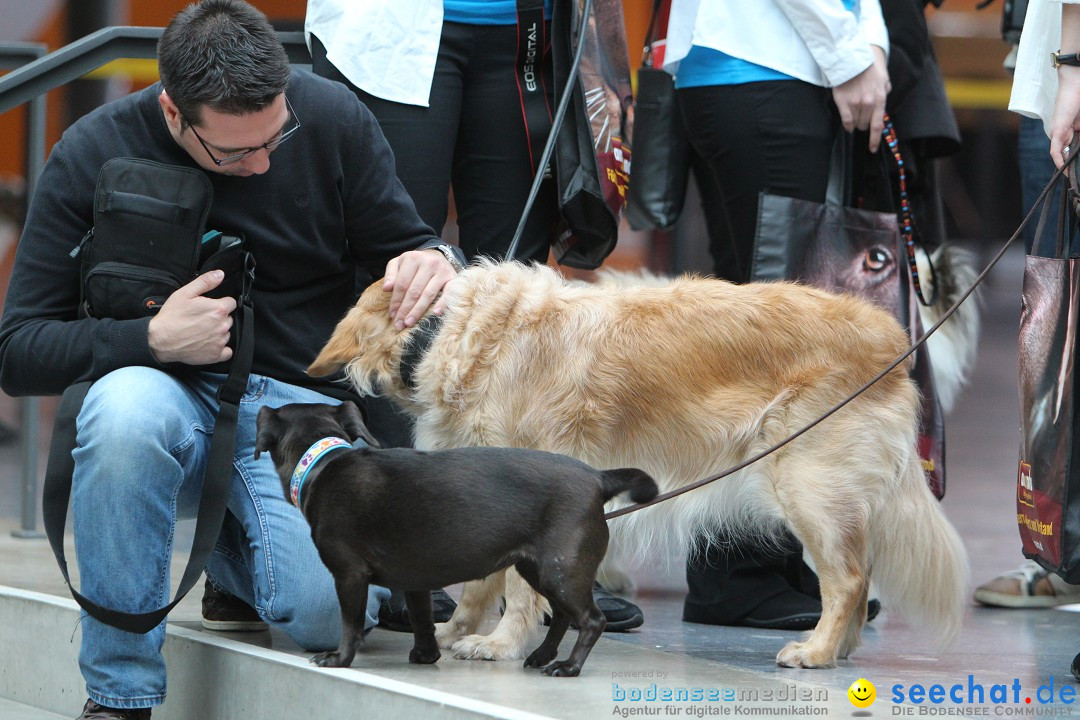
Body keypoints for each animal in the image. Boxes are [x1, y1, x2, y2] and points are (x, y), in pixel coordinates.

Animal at [253, 399, 656, 677]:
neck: (322, 463)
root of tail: (598, 478)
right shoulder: (414, 580)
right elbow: (422, 619)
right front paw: (425, 656)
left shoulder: (350, 576)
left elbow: (350, 624)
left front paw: (339, 658)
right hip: (540, 571)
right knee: (559, 615)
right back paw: (543, 657)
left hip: (561, 571)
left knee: (591, 620)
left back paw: (569, 667)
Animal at [306, 260, 972, 669]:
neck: (453, 331)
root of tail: (892, 338)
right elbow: (478, 583)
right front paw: (456, 632)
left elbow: (516, 591)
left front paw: (500, 644)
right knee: (860, 577)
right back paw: (840, 650)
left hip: (808, 487)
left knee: (849, 580)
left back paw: (816, 651)